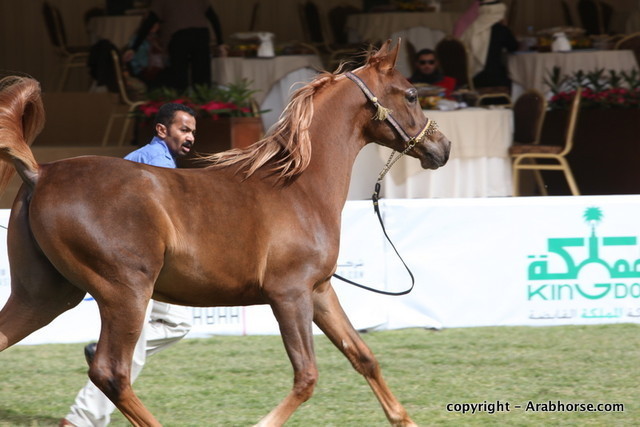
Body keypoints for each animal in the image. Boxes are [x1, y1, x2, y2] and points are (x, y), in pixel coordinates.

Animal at [0, 40, 450, 426]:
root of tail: (42, 172)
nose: (442, 148)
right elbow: (307, 377)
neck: (299, 187)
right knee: (111, 372)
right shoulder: (289, 294)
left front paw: (405, 419)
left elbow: (363, 356)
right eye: (411, 94)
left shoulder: (320, 291)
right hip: (124, 293)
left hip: (43, 296)